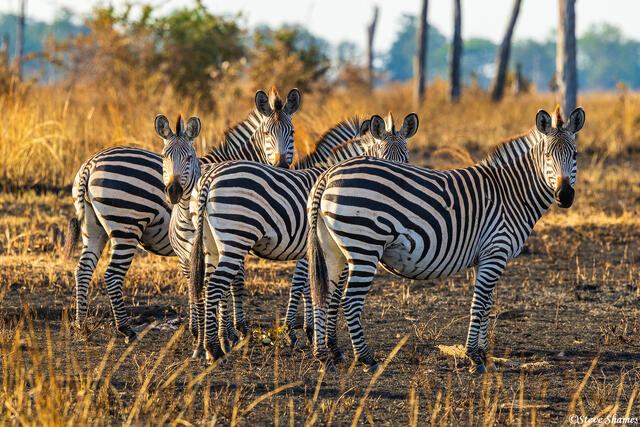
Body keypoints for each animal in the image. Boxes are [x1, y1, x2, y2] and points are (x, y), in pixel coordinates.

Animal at [62, 87, 301, 342]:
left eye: (292, 132)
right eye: (266, 133)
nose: (282, 167)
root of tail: (90, 164)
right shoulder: (234, 231)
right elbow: (235, 282)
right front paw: (236, 329)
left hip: (93, 227)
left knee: (83, 269)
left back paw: (81, 325)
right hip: (126, 226)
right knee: (112, 274)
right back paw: (126, 329)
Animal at [160, 112, 419, 361]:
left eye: (406, 159)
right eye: (383, 159)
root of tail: (209, 178)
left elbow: (309, 287)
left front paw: (310, 333)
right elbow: (315, 290)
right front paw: (311, 338)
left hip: (210, 244)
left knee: (202, 285)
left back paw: (210, 343)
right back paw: (215, 345)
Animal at [307, 106, 585, 373]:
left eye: (575, 155)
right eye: (547, 155)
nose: (564, 196)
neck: (511, 193)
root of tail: (329, 173)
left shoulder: (484, 257)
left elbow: (487, 305)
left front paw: (485, 353)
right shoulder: (496, 251)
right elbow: (479, 304)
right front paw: (474, 357)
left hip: (332, 249)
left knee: (323, 295)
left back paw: (325, 357)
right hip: (364, 246)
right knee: (350, 301)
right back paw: (367, 360)